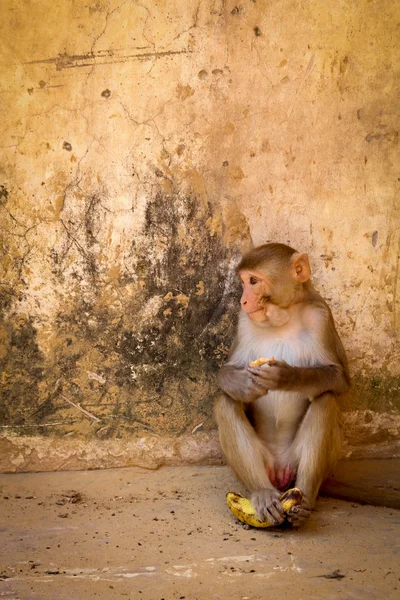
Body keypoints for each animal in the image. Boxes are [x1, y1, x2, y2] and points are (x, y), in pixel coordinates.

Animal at [214, 243, 348, 524]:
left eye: (253, 281)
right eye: (243, 282)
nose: (243, 301)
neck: (284, 317)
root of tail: (278, 470)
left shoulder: (321, 316)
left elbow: (340, 379)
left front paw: (287, 376)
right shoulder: (244, 320)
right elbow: (227, 371)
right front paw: (244, 386)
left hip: (295, 463)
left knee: (326, 400)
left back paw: (303, 499)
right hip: (264, 463)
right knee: (225, 402)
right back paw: (263, 492)